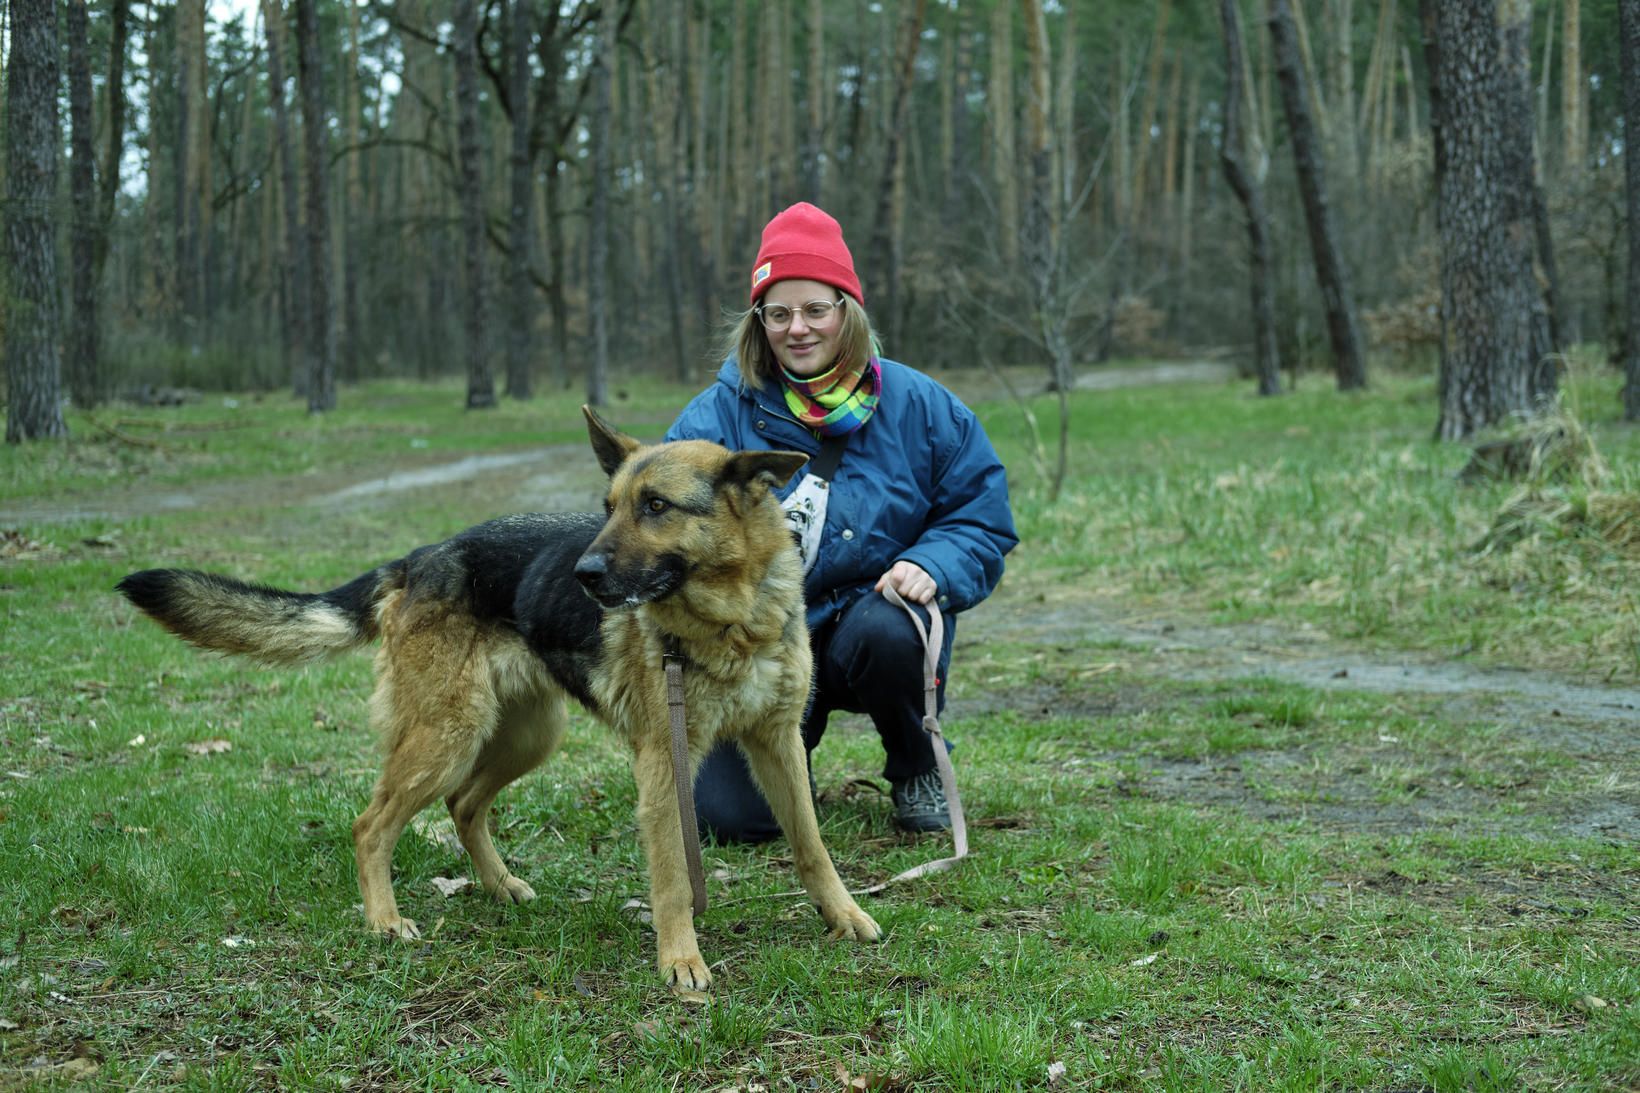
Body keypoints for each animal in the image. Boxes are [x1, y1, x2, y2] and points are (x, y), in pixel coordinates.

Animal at [118, 408, 885, 984]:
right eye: (608, 508)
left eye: (656, 507)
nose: (583, 574)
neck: (734, 618)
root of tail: (420, 556)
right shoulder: (663, 765)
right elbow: (672, 872)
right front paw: (681, 959)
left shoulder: (778, 744)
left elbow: (812, 844)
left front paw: (842, 915)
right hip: (447, 735)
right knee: (371, 824)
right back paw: (384, 920)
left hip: (524, 737)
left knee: (463, 806)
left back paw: (500, 886)